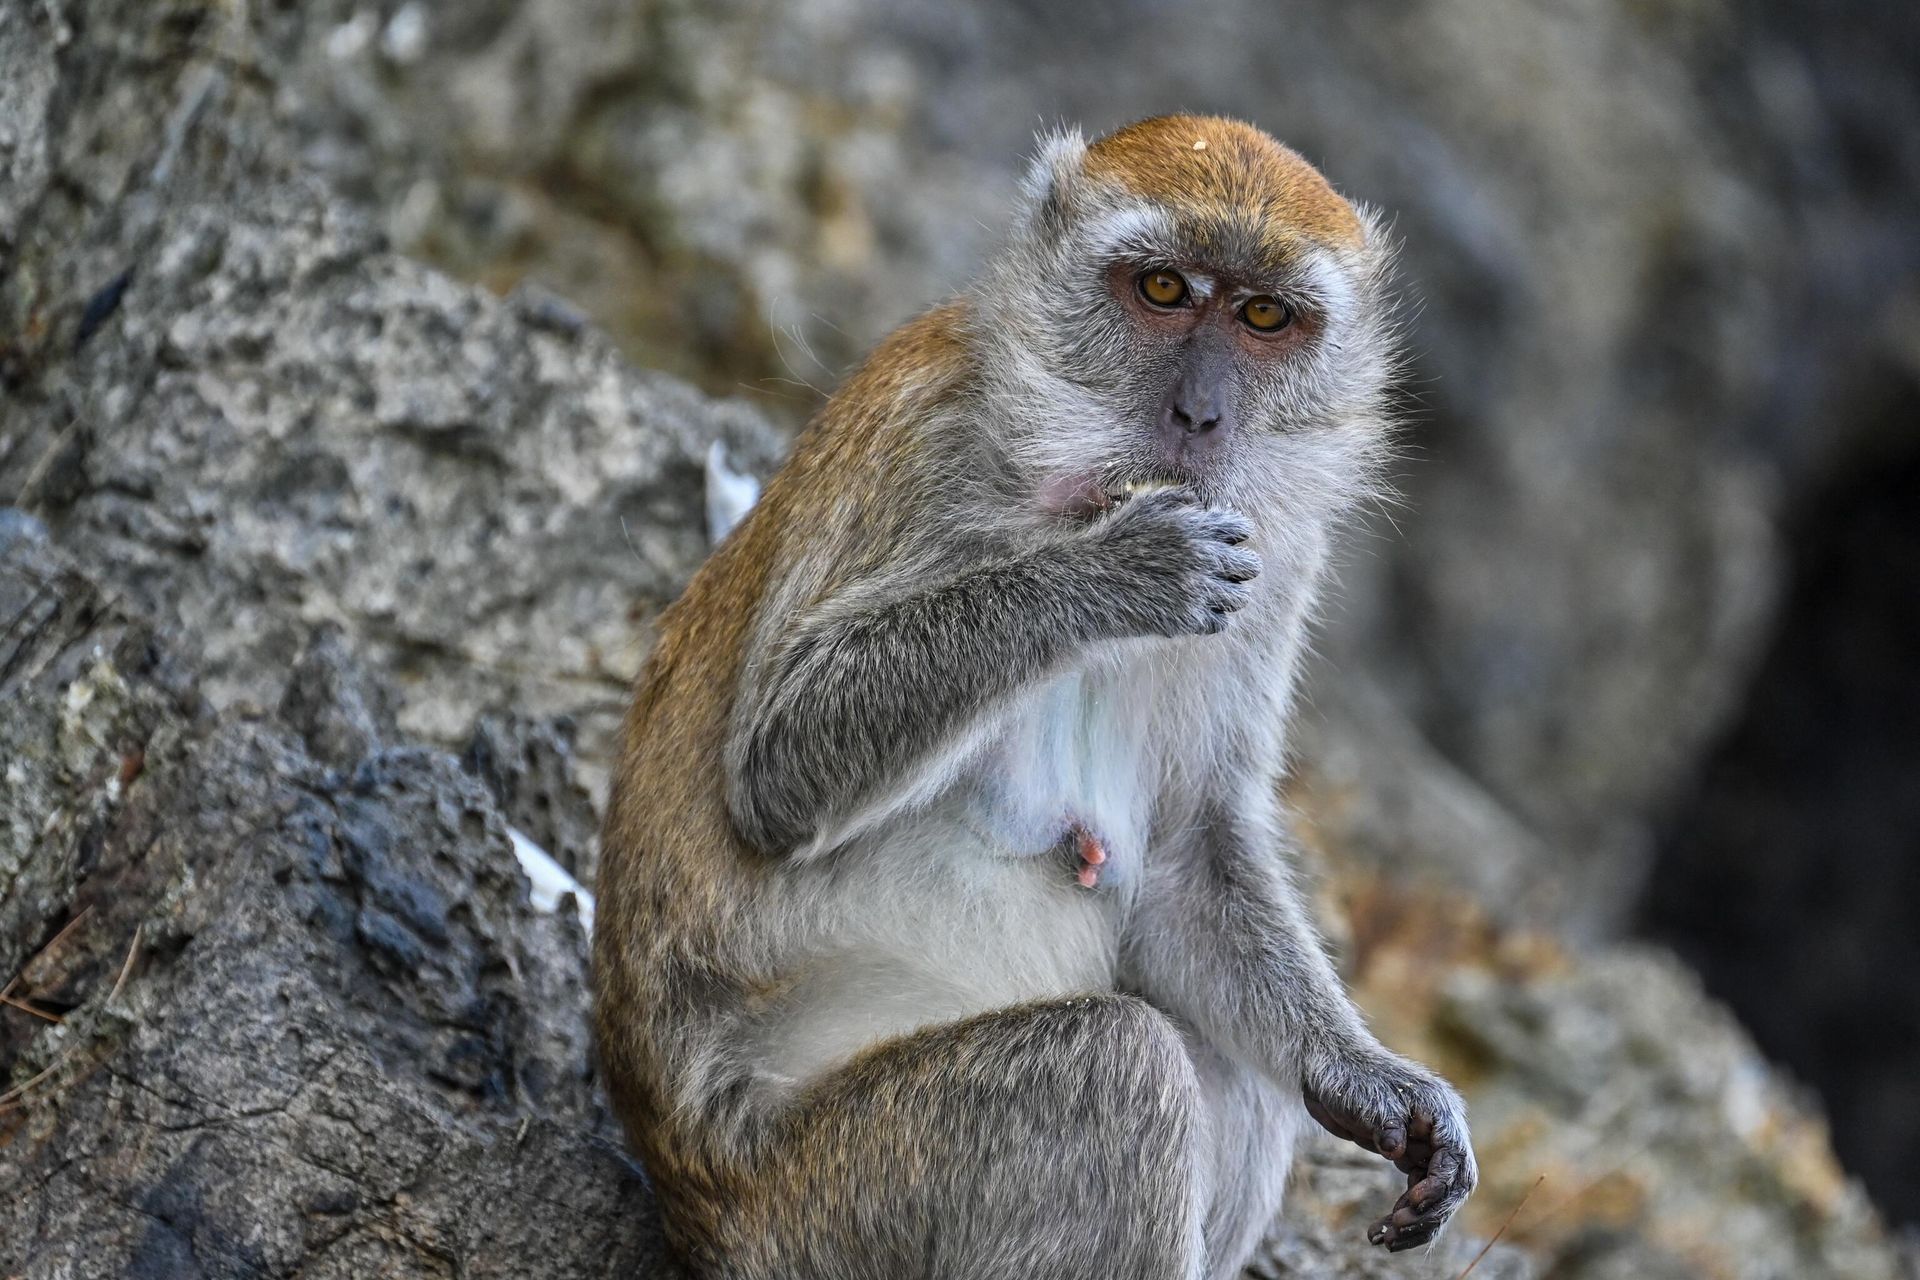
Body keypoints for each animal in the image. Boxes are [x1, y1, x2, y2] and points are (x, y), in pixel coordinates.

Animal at [593, 114, 1477, 1280]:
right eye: (1161, 289)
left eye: (1264, 315)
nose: (1200, 414)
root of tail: (698, 1208)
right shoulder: (923, 439)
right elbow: (778, 767)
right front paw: (1114, 572)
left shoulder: (1279, 562)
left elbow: (1189, 852)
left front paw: (1374, 1083)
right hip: (828, 1208)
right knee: (1116, 1062)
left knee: (1231, 1077)